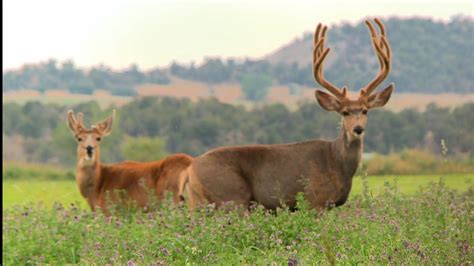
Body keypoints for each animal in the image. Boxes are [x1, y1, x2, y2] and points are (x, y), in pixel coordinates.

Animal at [181, 17, 392, 211]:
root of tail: (190, 170)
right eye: (345, 112)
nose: (358, 128)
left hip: (199, 203)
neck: (336, 162)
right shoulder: (315, 200)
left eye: (365, 110)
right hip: (231, 197)